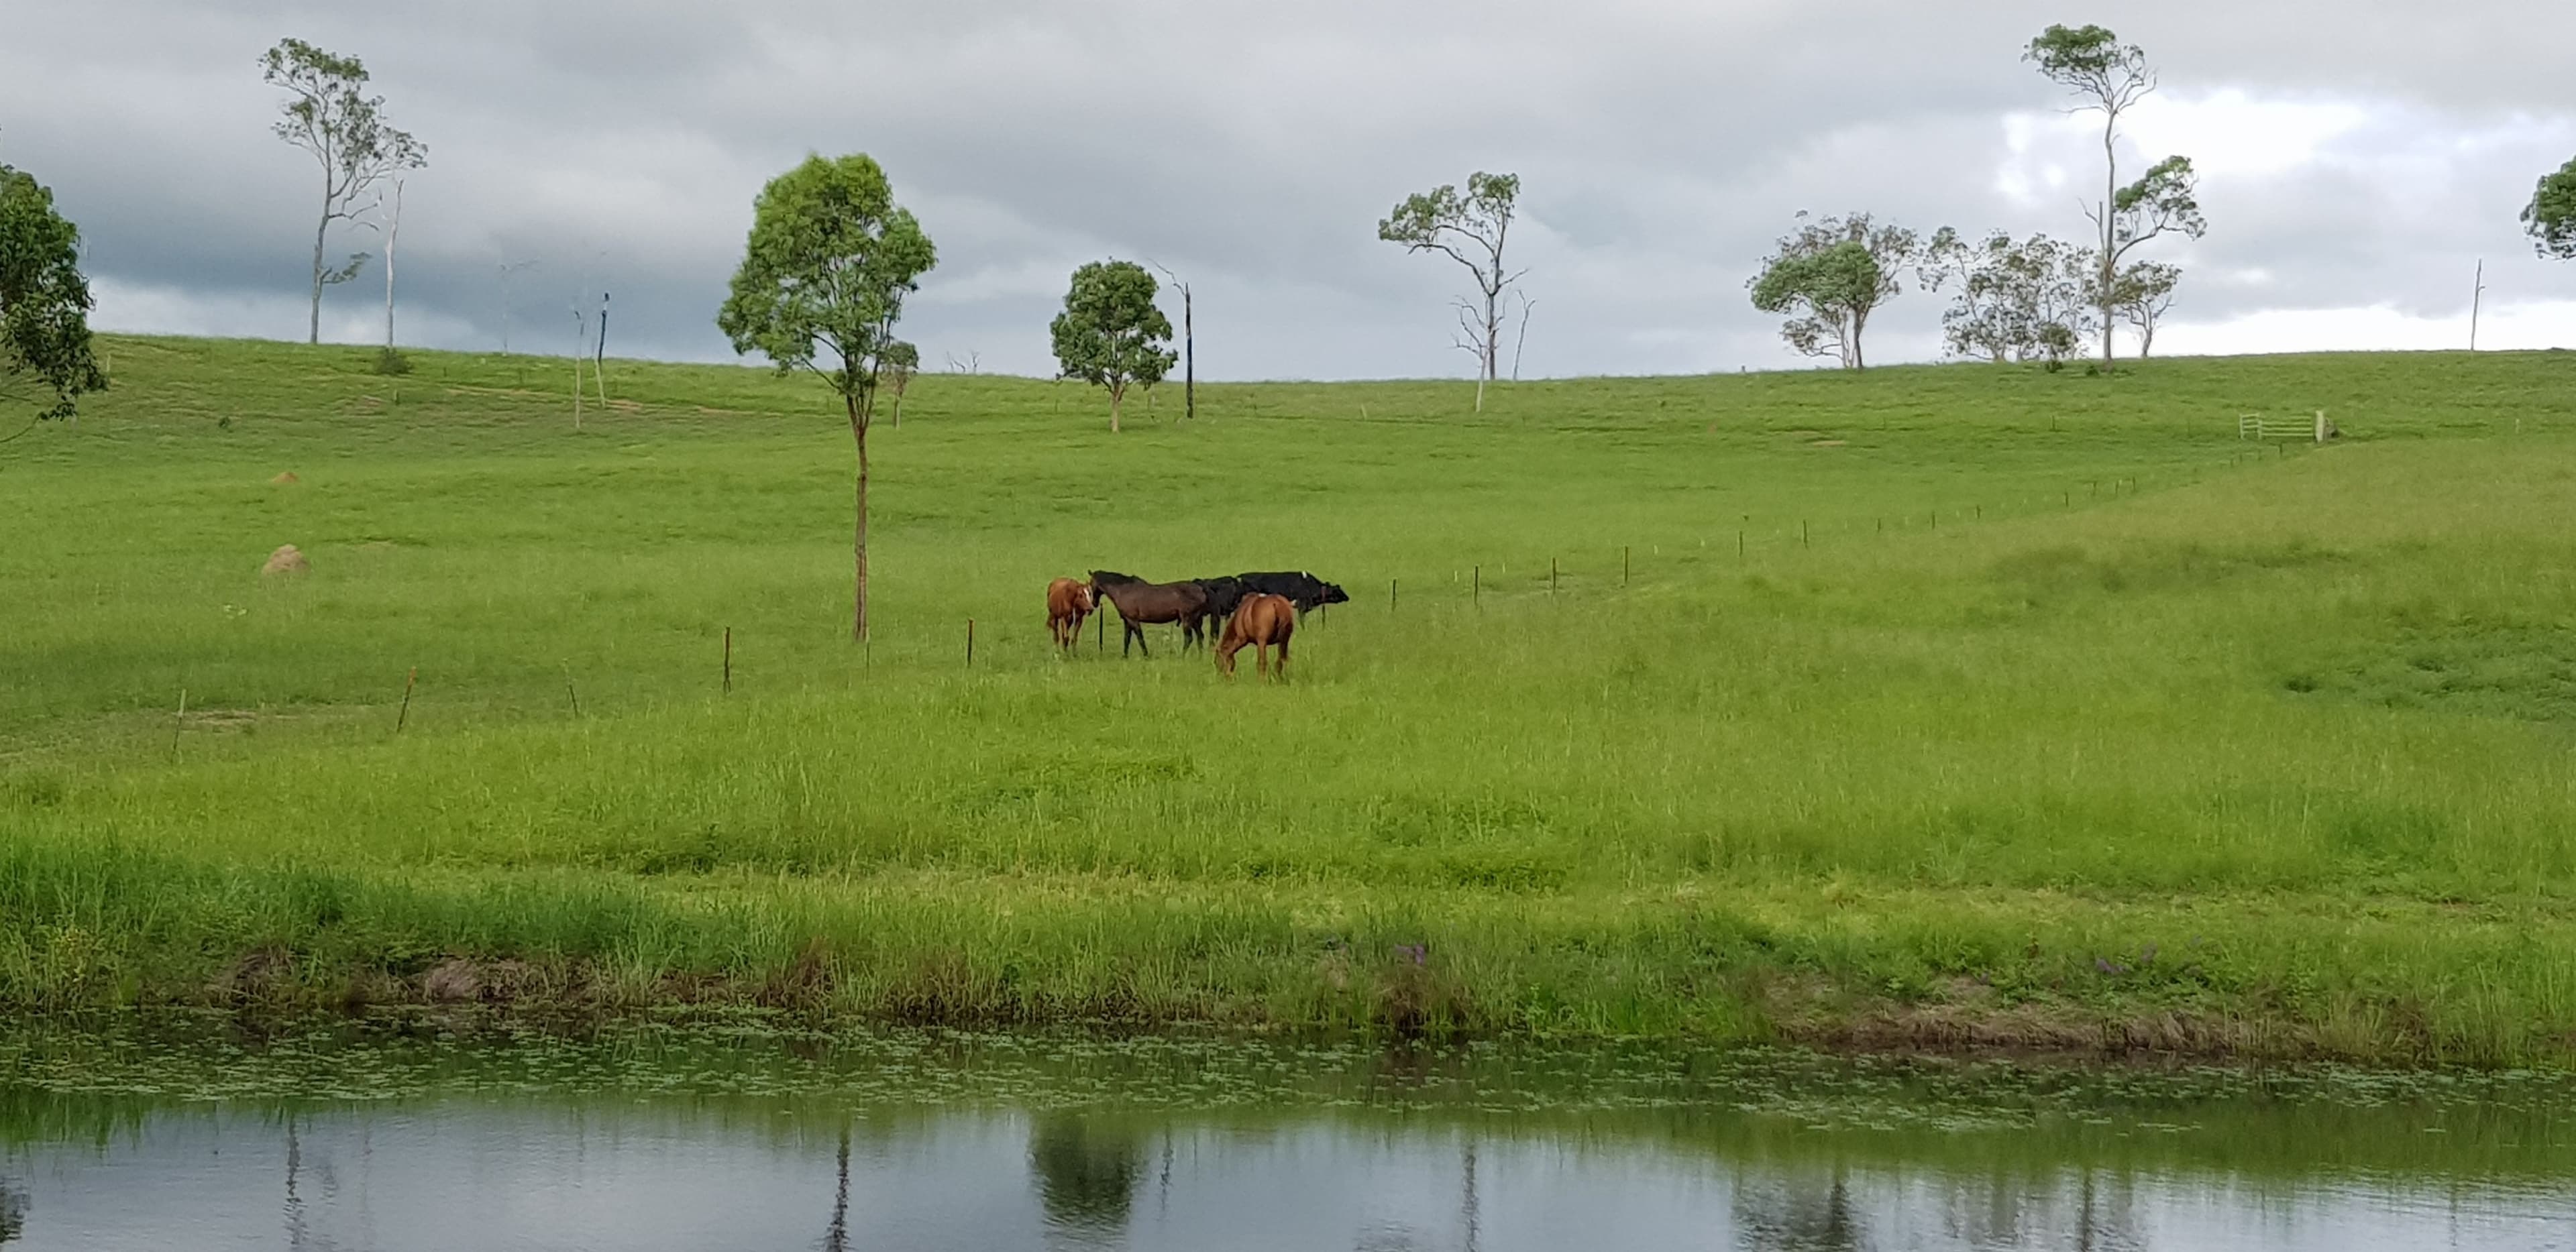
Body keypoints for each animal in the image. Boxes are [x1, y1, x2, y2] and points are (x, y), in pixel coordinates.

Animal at [1088, 571, 1210, 658]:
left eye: (1090, 584)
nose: (1094, 603)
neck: (1123, 590)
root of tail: (1201, 589)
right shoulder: (1127, 621)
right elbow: (1127, 639)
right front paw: (1125, 656)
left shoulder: (1133, 620)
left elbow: (1140, 638)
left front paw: (1146, 655)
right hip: (1196, 621)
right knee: (1200, 637)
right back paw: (1200, 657)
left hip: (1187, 619)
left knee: (1189, 638)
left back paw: (1182, 656)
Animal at [1216, 593, 1295, 680]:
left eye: (1217, 661)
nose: (1221, 677)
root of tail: (1278, 604)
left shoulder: (1242, 639)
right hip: (1284, 641)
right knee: (1281, 661)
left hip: (1262, 642)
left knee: (1262, 662)